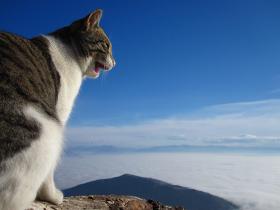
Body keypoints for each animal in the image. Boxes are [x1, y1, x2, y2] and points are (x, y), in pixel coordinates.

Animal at [0, 8, 115, 210]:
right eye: (106, 45)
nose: (115, 62)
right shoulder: (59, 114)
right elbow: (50, 172)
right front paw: (52, 196)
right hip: (49, 132)